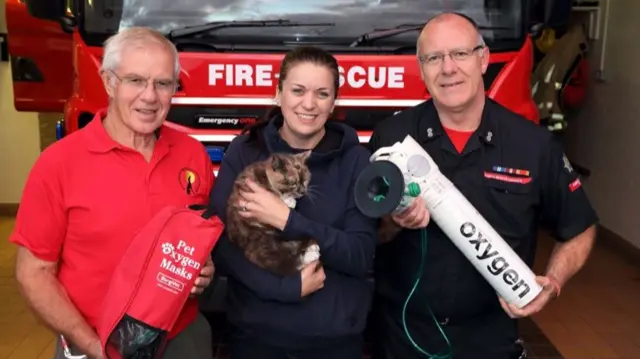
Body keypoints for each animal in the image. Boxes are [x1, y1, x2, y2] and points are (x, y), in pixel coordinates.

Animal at [228, 150, 322, 278]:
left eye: (305, 180)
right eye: (293, 183)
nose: (303, 191)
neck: (265, 174)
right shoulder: (247, 187)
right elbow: (272, 192)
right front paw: (289, 200)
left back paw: (312, 248)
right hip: (262, 244)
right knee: (285, 264)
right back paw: (311, 254)